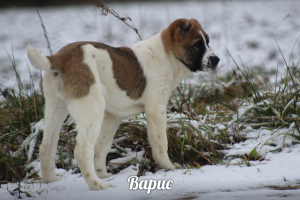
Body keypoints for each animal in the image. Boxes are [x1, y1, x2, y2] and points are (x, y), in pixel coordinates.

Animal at [27, 18, 220, 190]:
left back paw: (52, 180)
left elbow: (102, 146)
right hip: (92, 108)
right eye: (197, 44)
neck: (166, 54)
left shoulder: (113, 116)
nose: (216, 59)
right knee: (82, 150)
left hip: (56, 107)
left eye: (208, 42)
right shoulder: (156, 108)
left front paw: (103, 173)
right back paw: (98, 186)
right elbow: (160, 142)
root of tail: (60, 56)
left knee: (47, 146)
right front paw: (169, 167)